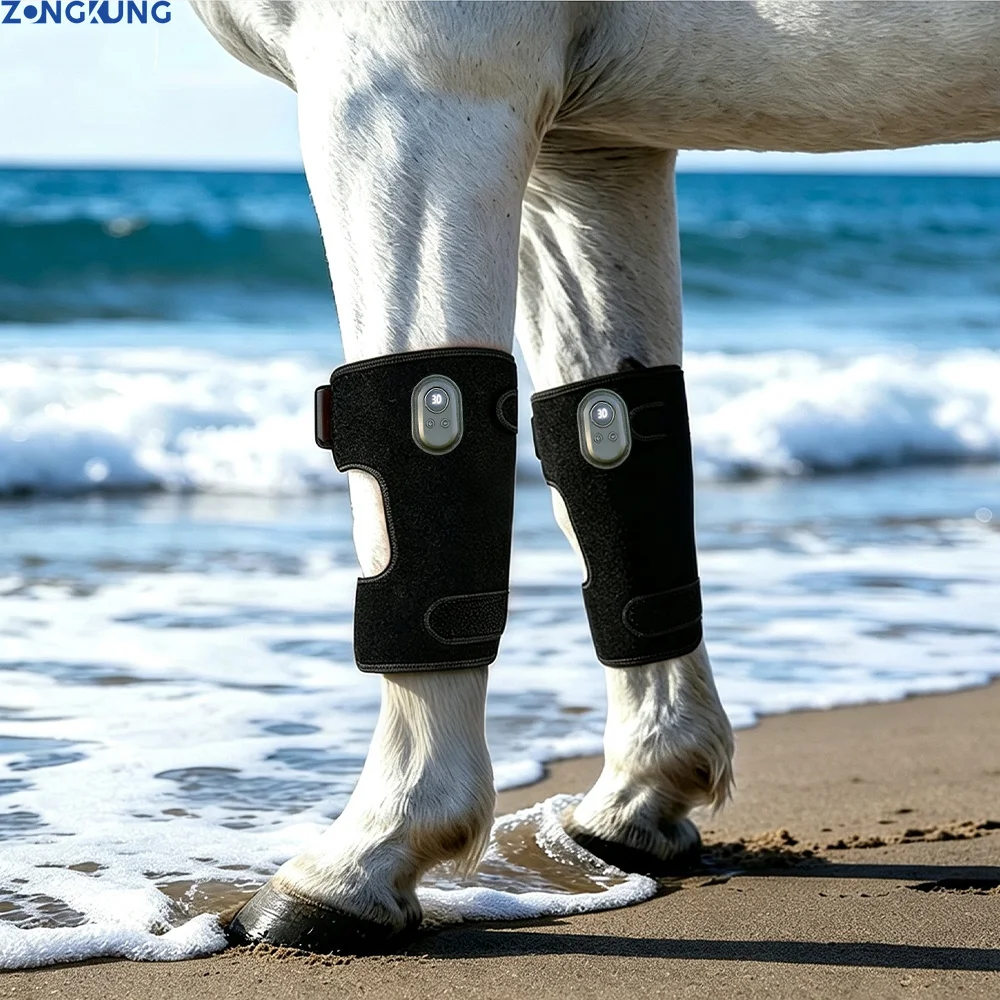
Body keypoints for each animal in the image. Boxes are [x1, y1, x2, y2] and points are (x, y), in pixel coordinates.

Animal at [191, 0, 1000, 952]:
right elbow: (605, 445)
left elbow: (425, 420)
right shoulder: (592, 145)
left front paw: (373, 844)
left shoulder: (412, 78)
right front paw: (646, 785)